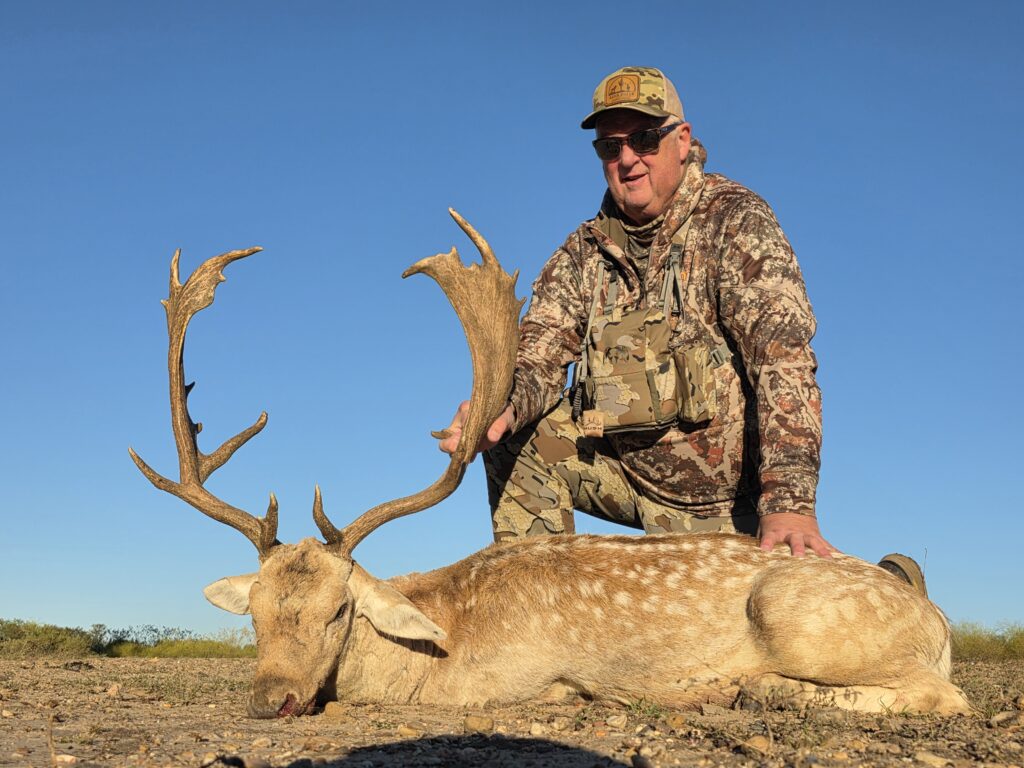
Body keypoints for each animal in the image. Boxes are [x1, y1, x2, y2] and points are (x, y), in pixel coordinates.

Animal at [130, 210, 971, 719]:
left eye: (340, 609)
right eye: (256, 610)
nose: (269, 699)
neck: (435, 650)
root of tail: (935, 618)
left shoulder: (511, 680)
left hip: (797, 611)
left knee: (943, 695)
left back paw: (747, 687)